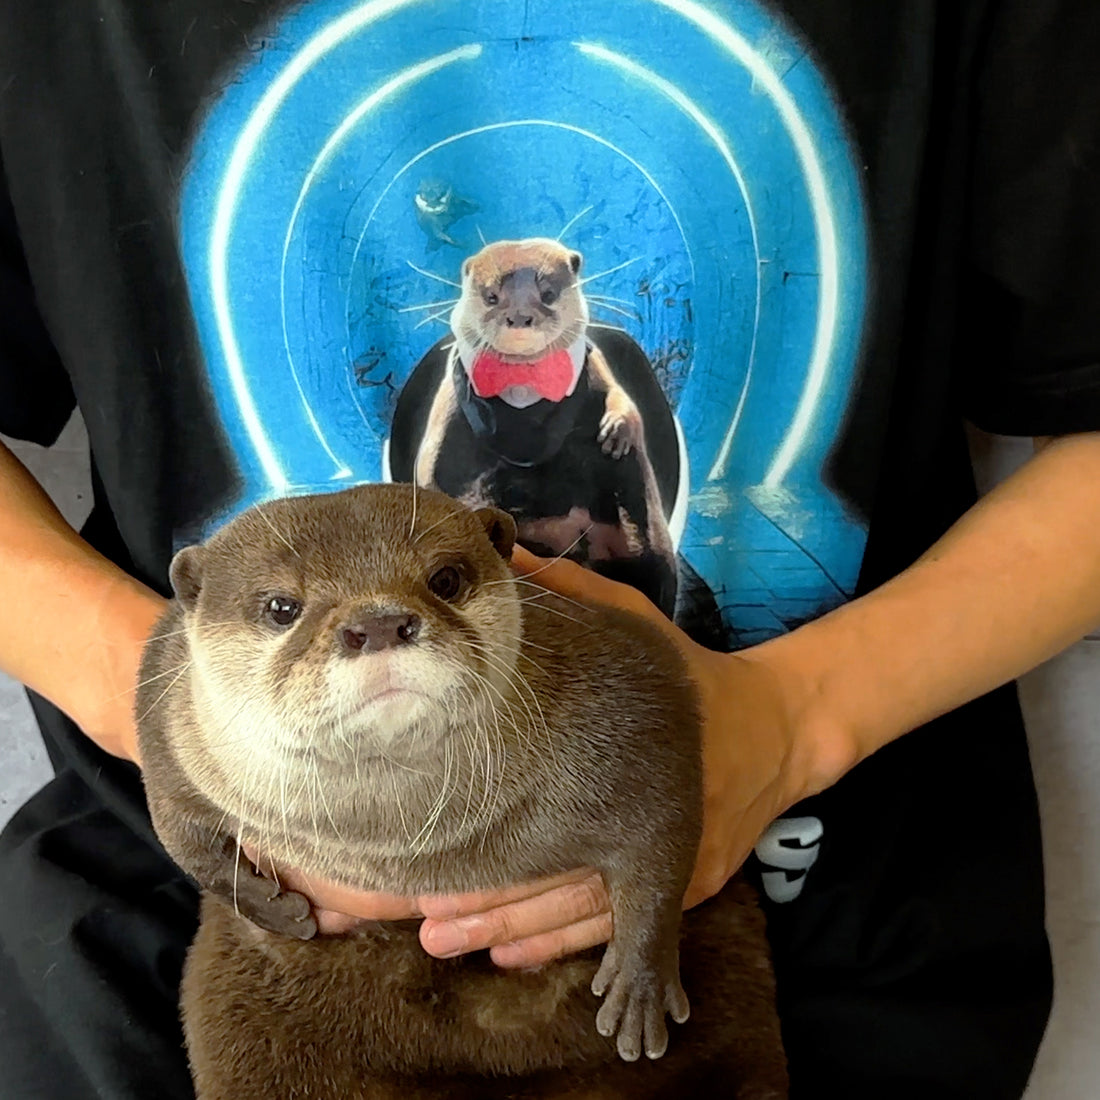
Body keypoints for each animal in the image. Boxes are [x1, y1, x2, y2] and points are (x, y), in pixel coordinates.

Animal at [137, 483, 788, 1099]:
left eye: (444, 579)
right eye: (281, 607)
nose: (378, 622)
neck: (399, 842)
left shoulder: (625, 697)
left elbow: (666, 801)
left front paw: (640, 981)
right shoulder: (167, 714)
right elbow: (171, 816)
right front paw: (260, 899)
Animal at [410, 238, 680, 618]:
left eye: (548, 294)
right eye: (491, 296)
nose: (520, 315)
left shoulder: (597, 367)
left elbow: (622, 400)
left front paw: (616, 431)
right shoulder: (445, 415)